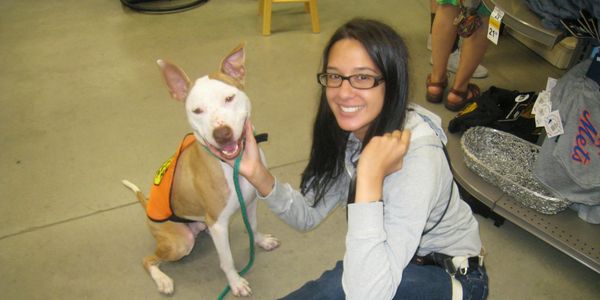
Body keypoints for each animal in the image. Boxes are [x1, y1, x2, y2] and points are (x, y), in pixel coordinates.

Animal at [123, 43, 282, 296]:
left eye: (229, 98)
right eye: (197, 110)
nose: (222, 134)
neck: (232, 165)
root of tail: (146, 204)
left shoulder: (251, 202)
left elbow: (254, 225)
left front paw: (261, 240)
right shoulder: (218, 224)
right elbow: (227, 260)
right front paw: (235, 282)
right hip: (180, 243)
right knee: (148, 260)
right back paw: (163, 280)